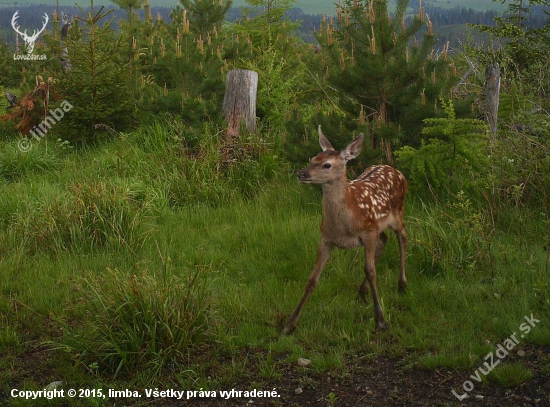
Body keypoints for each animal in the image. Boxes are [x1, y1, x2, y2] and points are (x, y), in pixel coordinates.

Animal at [284, 126, 410, 334]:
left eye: (326, 165)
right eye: (313, 159)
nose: (301, 174)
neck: (344, 225)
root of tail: (395, 170)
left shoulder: (368, 233)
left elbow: (371, 271)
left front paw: (381, 320)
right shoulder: (326, 238)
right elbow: (312, 279)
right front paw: (290, 323)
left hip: (397, 213)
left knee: (403, 238)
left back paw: (402, 284)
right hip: (378, 226)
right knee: (384, 239)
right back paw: (362, 291)